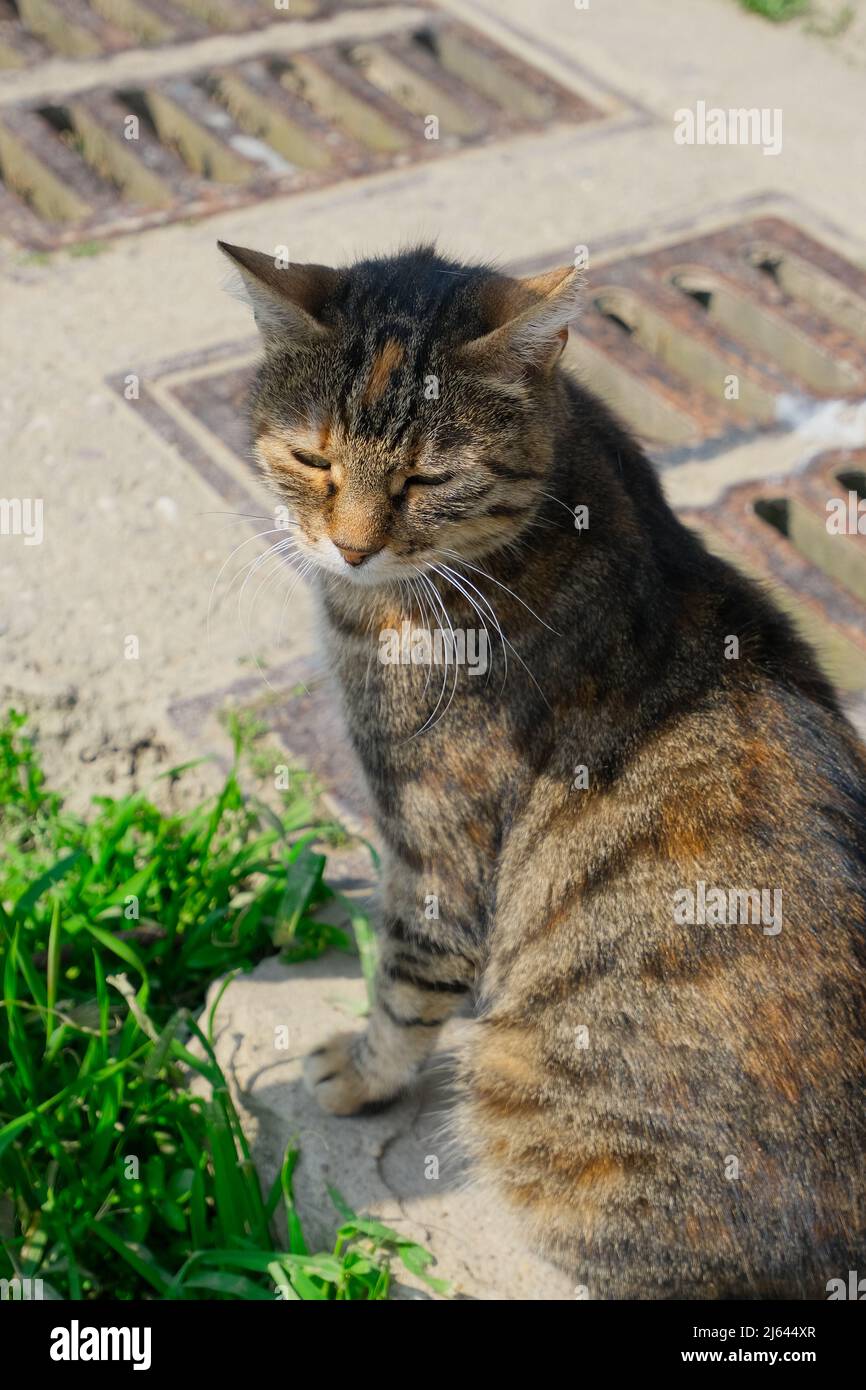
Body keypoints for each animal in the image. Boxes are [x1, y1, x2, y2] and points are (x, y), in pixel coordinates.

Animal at [218, 233, 866, 1295]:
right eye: (312, 457)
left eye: (427, 479)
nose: (351, 551)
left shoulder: (435, 839)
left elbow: (406, 985)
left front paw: (359, 1073)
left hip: (519, 1095)